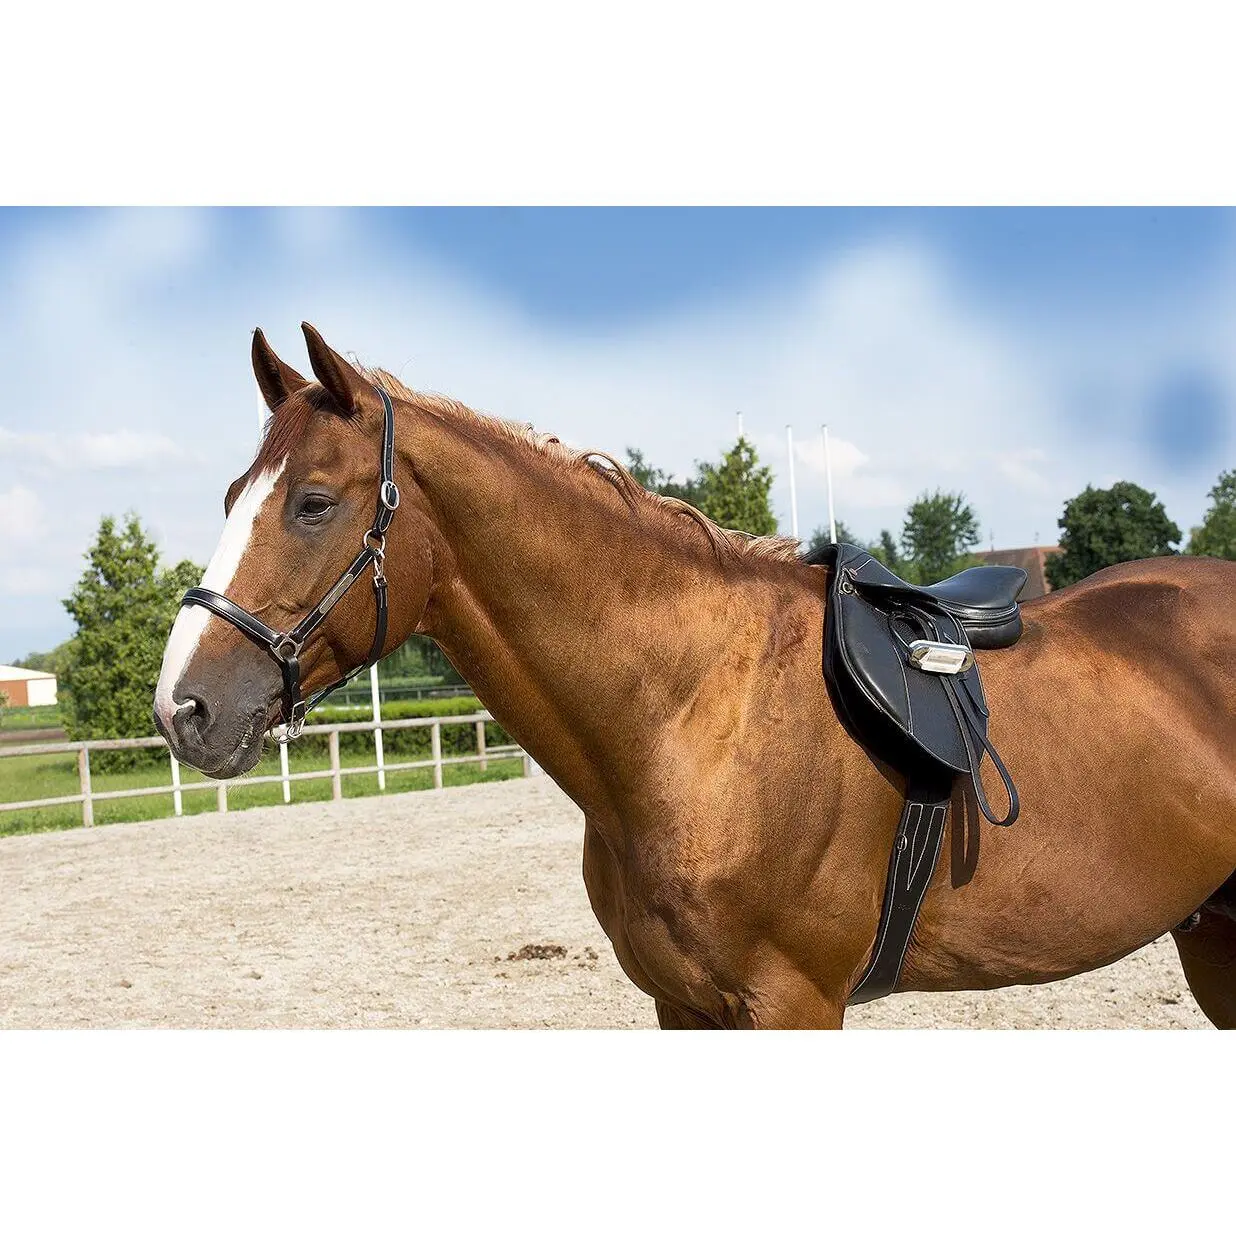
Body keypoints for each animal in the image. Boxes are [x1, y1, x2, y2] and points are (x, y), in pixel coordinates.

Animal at [154, 323, 1236, 1029]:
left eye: (313, 503)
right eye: (231, 495)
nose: (183, 708)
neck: (697, 715)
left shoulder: (793, 1004)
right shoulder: (683, 1006)